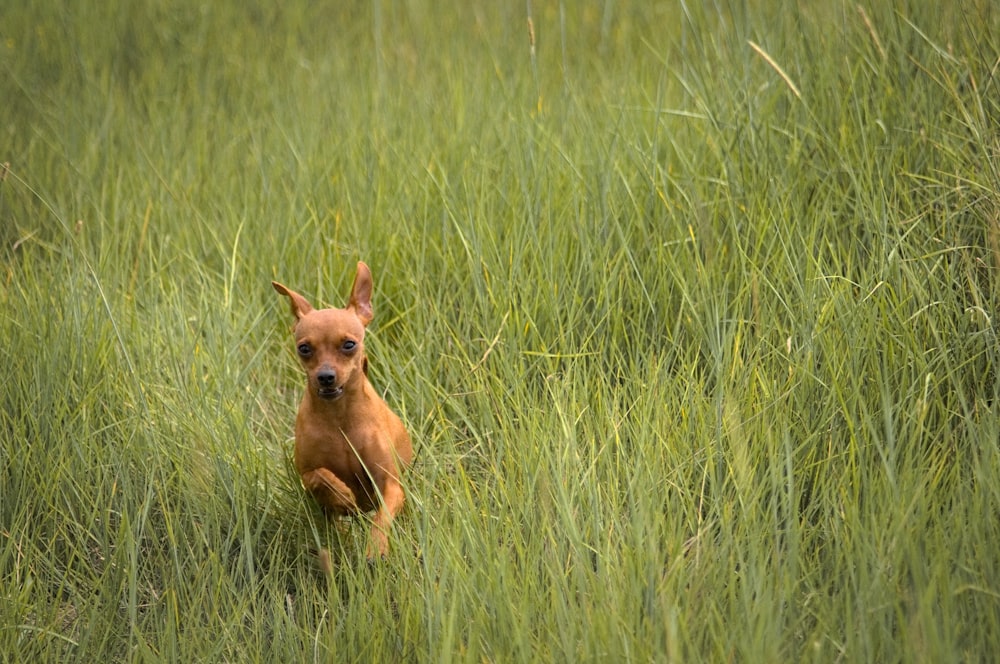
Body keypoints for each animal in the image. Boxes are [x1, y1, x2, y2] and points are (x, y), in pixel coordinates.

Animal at [272, 262, 412, 556]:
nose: (325, 376)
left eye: (349, 344)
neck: (340, 419)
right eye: (304, 348)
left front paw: (375, 548)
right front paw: (342, 495)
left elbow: (381, 518)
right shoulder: (307, 474)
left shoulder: (391, 486)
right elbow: (320, 477)